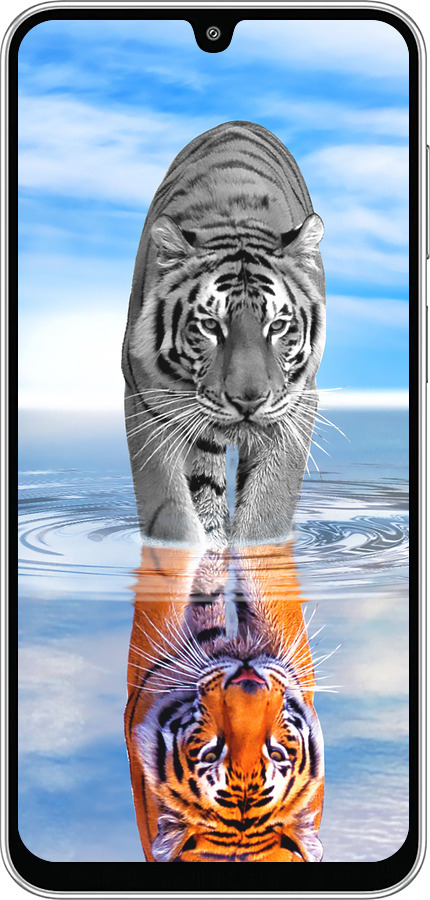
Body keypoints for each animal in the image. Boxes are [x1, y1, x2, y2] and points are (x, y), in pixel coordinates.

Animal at [122, 120, 326, 548]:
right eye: (210, 326)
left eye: (277, 326)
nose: (248, 401)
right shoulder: (146, 401)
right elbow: (170, 511)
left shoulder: (297, 404)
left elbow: (268, 508)